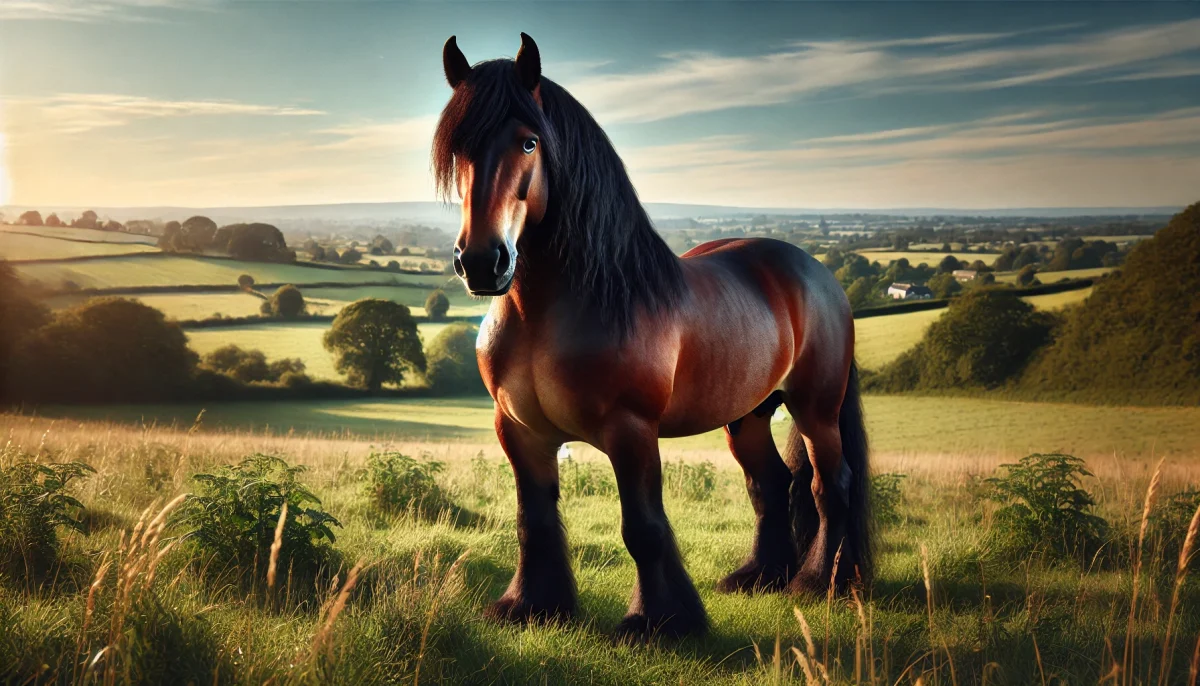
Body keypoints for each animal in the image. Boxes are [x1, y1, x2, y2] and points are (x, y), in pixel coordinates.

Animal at [433, 33, 871, 639]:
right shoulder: (520, 431)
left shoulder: (632, 431)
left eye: (528, 142)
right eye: (458, 150)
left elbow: (642, 528)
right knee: (770, 484)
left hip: (816, 411)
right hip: (748, 415)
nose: (481, 262)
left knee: (831, 486)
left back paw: (817, 582)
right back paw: (759, 577)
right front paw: (532, 606)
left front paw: (659, 622)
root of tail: (820, 274)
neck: (559, 309)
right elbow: (533, 521)